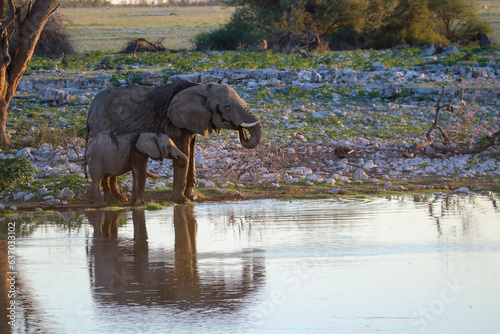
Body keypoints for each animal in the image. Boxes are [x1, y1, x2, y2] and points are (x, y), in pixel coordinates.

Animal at [86, 80, 266, 204]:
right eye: (227, 106)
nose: (242, 131)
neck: (199, 87)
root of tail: (90, 107)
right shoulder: (174, 122)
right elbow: (183, 150)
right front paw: (182, 200)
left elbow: (191, 151)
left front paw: (192, 197)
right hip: (102, 125)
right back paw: (113, 200)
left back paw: (118, 199)